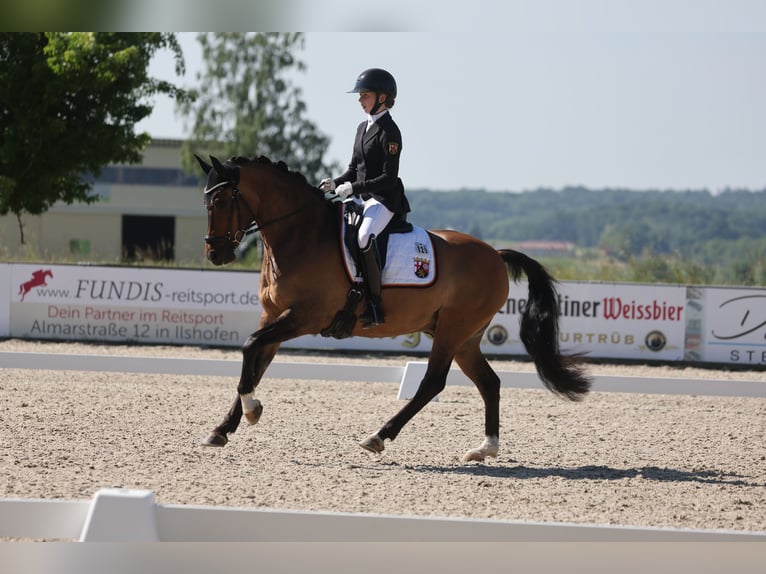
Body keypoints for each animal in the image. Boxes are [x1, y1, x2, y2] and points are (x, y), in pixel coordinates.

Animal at [195, 155, 592, 466]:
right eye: (206, 203)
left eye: (221, 201)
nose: (215, 254)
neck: (301, 235)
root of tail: (495, 254)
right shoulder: (274, 316)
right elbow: (255, 363)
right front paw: (222, 429)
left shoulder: (305, 316)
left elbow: (249, 345)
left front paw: (252, 410)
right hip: (465, 338)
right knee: (489, 382)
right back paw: (484, 449)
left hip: (452, 332)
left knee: (433, 382)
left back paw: (379, 436)